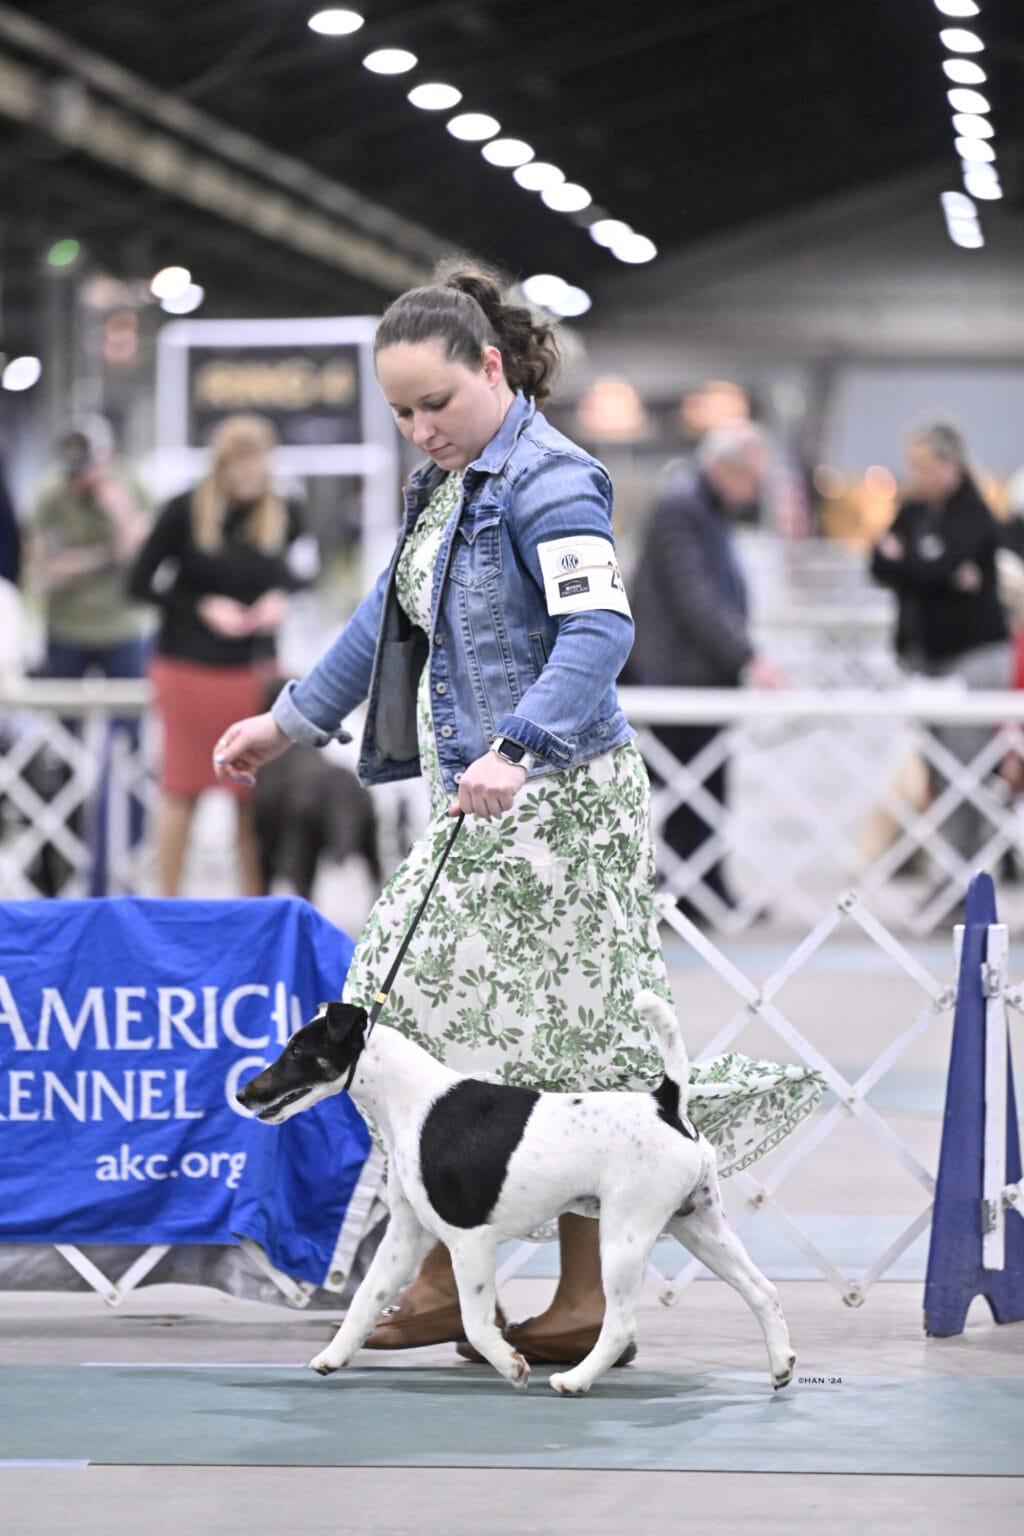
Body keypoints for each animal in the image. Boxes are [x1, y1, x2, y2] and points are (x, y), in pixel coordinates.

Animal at [236, 989, 798, 1400]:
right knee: (762, 1292)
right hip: (700, 1226)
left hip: (625, 1235)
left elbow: (476, 1322)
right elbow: (365, 1300)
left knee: (619, 1324)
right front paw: (333, 1357)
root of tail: (667, 1103)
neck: (411, 1101)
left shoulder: (469, 1240)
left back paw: (574, 1380)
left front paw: (511, 1365)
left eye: (297, 1051)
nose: (243, 1093)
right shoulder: (405, 1235)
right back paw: (781, 1368)